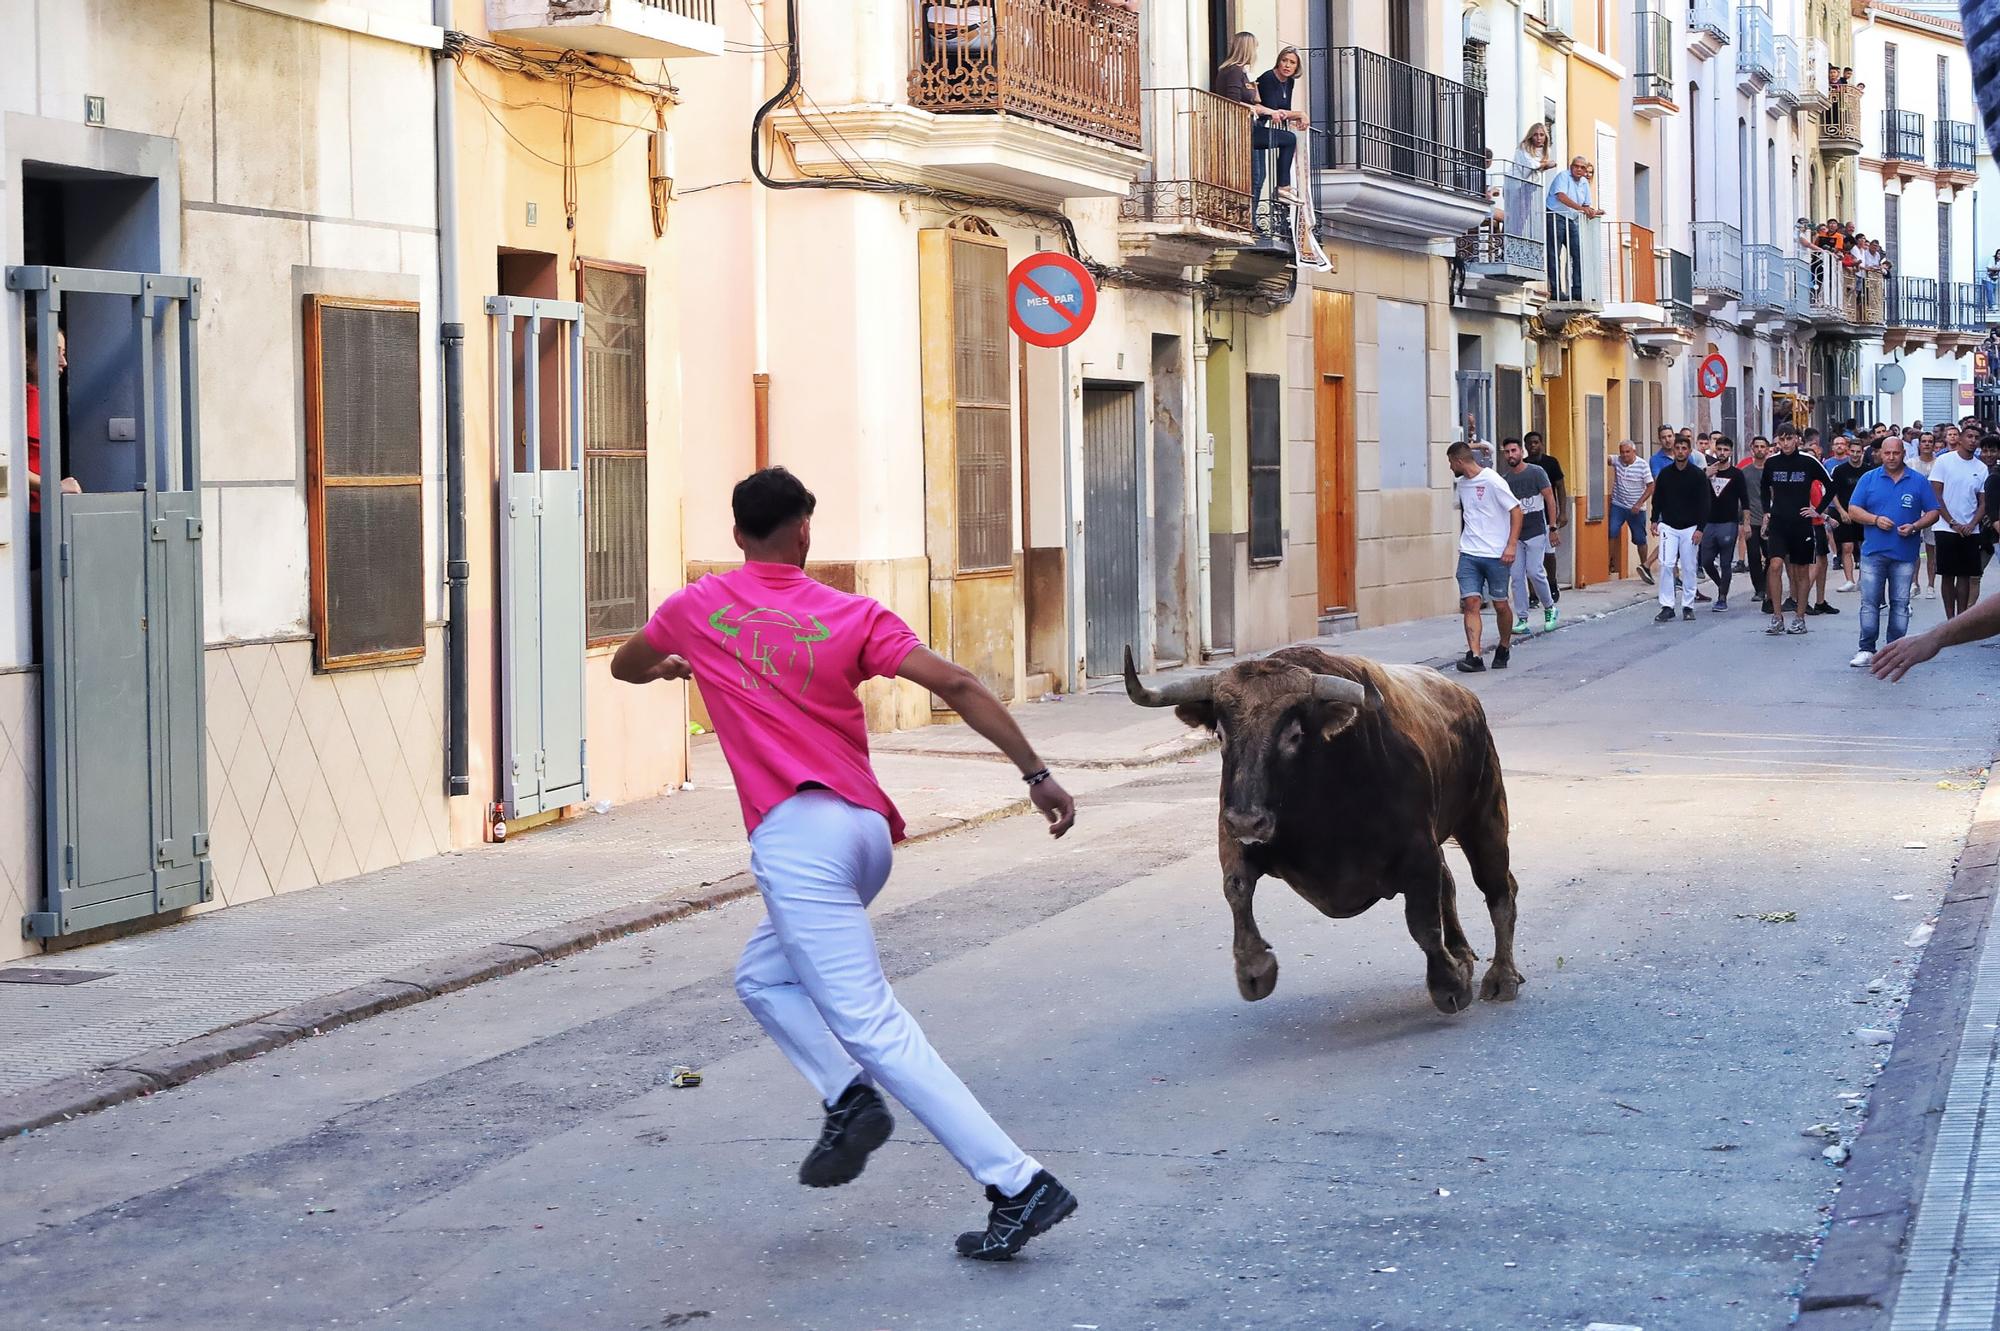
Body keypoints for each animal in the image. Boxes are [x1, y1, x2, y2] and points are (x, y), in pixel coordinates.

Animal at [1120, 643, 1520, 1007]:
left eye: (1294, 734)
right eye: (1220, 734)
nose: (1247, 820)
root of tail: (1466, 698)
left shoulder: (1418, 851)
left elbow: (1422, 921)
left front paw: (1448, 984)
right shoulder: (1233, 837)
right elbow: (1236, 888)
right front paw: (1255, 970)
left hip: (1484, 816)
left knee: (1499, 891)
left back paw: (1502, 976)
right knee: (1451, 886)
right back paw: (1463, 954)